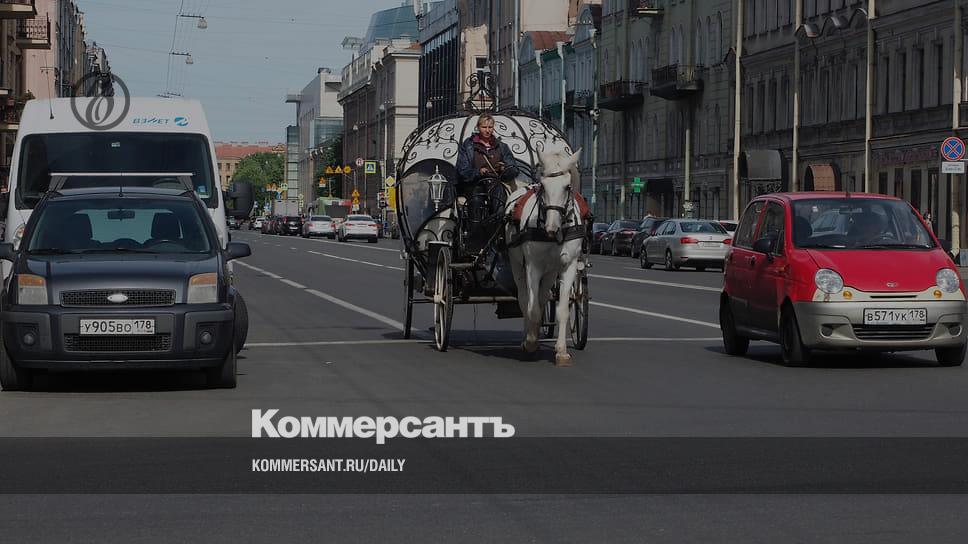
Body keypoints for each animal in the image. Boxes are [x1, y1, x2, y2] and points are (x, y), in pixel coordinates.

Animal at [505, 148, 585, 367]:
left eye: (567, 186)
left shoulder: (568, 266)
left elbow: (562, 310)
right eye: (543, 185)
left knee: (542, 298)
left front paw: (562, 352)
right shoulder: (533, 266)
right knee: (525, 299)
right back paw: (527, 338)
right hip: (517, 265)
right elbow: (531, 308)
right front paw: (531, 342)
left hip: (550, 271)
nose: (551, 228)